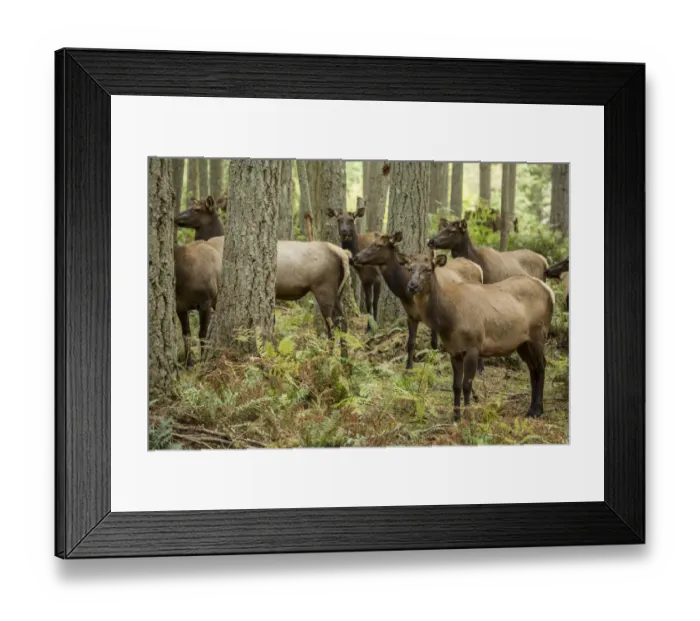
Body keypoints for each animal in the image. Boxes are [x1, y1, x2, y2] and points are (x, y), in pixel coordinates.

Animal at [327, 200, 382, 331]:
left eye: (351, 220)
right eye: (338, 219)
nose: (344, 231)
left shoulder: (377, 277)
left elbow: (375, 302)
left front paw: (376, 326)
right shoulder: (365, 279)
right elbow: (368, 302)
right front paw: (368, 328)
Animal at [406, 254, 555, 422]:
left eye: (428, 269)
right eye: (410, 268)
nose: (412, 286)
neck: (449, 319)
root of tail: (549, 291)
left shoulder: (473, 346)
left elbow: (467, 384)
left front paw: (467, 415)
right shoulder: (454, 351)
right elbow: (456, 385)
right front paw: (456, 416)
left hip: (539, 333)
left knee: (541, 365)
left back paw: (538, 410)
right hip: (523, 342)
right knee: (533, 367)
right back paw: (531, 409)